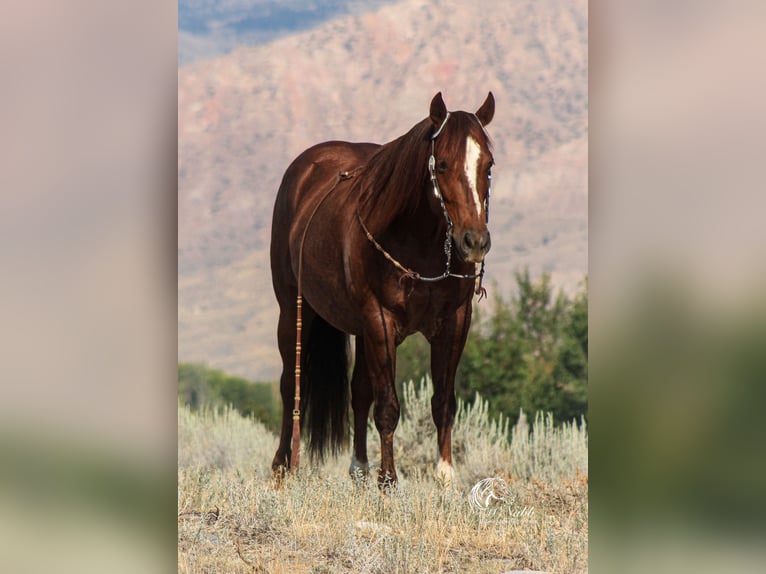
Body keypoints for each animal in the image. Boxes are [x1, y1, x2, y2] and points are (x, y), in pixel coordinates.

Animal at [270, 92, 498, 488]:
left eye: (487, 165)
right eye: (442, 165)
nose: (474, 242)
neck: (418, 245)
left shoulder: (454, 323)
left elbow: (443, 401)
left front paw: (445, 475)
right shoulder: (380, 321)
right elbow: (388, 405)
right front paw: (388, 479)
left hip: (360, 332)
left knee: (359, 391)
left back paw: (359, 468)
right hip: (294, 311)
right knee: (290, 387)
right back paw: (283, 466)